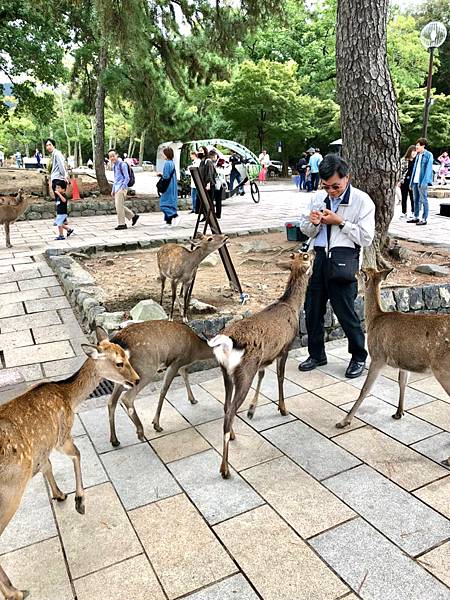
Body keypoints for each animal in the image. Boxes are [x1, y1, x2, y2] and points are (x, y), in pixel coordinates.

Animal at [0, 328, 139, 600]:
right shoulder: (62, 435)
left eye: (127, 357)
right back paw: (15, 592)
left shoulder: (43, 448)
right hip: (9, 494)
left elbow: (48, 467)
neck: (69, 397)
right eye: (119, 363)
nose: (137, 380)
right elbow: (78, 454)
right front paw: (79, 502)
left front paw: (60, 494)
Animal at [208, 252, 312, 478]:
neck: (293, 307)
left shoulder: (264, 359)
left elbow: (263, 375)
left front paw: (252, 409)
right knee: (230, 411)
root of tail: (226, 342)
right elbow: (281, 377)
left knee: (226, 406)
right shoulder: (285, 347)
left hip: (226, 372)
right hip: (244, 371)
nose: (316, 251)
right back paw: (225, 469)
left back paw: (233, 435)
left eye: (298, 255)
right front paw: (283, 409)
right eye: (306, 255)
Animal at [336, 268, 450, 468]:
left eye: (361, 271)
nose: (353, 273)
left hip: (443, 369)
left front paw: (344, 421)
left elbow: (365, 389)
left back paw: (448, 459)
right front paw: (399, 413)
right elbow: (402, 382)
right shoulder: (403, 361)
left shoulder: (377, 356)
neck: (374, 319)